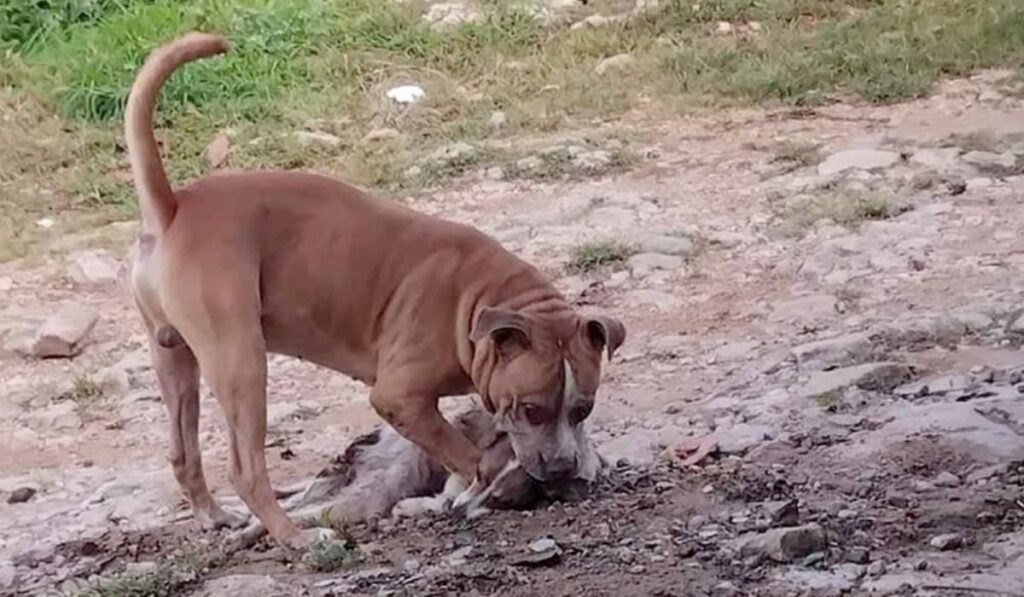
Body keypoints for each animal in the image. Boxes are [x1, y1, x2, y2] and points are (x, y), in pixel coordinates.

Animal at [234, 403, 598, 548]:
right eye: (479, 473)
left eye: (503, 501)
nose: (457, 513)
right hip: (365, 489)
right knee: (298, 504)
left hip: (354, 490)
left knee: (296, 504)